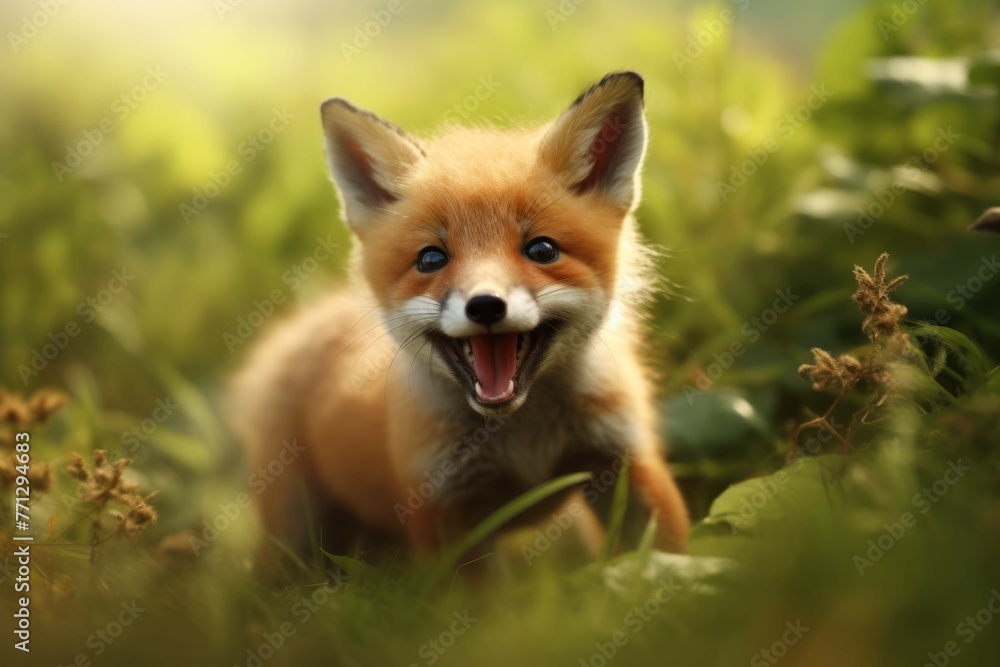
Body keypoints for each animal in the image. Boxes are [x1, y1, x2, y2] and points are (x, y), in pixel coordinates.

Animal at [229, 71, 690, 569]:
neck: (524, 439)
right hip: (298, 532)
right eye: (431, 259)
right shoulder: (444, 507)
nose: (485, 305)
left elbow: (665, 555)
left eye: (542, 250)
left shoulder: (623, 459)